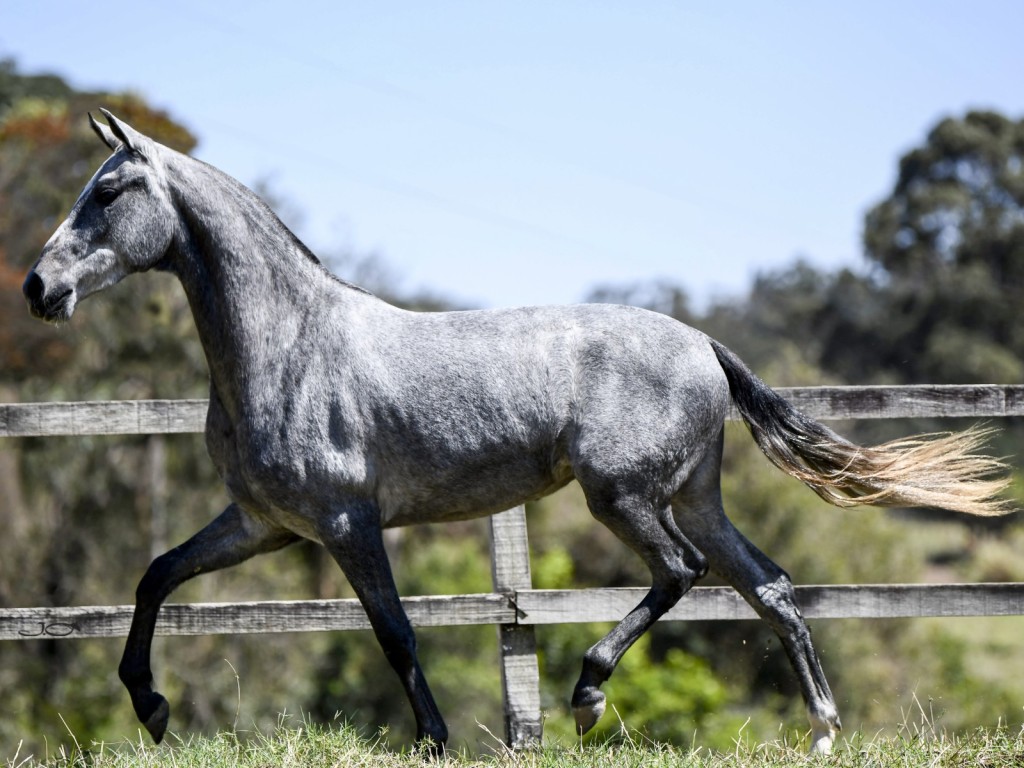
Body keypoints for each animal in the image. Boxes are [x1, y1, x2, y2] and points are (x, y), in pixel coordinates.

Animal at [24, 111, 1007, 753]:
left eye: (110, 191)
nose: (39, 288)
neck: (291, 345)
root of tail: (702, 345)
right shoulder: (263, 526)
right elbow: (155, 576)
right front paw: (149, 707)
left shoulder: (346, 523)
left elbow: (395, 632)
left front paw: (434, 742)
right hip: (695, 495)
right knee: (768, 585)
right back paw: (824, 732)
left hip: (622, 495)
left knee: (683, 572)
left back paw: (586, 695)